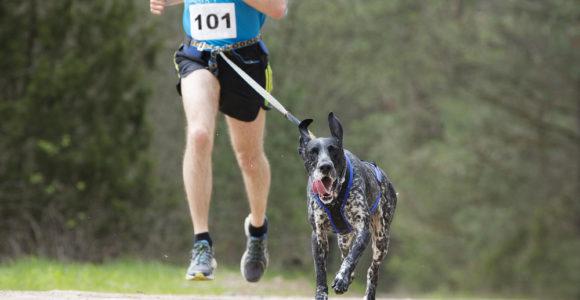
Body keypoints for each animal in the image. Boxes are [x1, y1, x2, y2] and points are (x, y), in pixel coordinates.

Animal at [296, 113, 396, 300]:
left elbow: (353, 256)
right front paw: (321, 292)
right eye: (313, 152)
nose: (325, 166)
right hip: (343, 239)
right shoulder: (318, 235)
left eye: (333, 149)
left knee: (372, 270)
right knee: (344, 254)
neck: (335, 199)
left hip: (381, 241)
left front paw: (342, 279)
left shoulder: (363, 230)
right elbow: (320, 269)